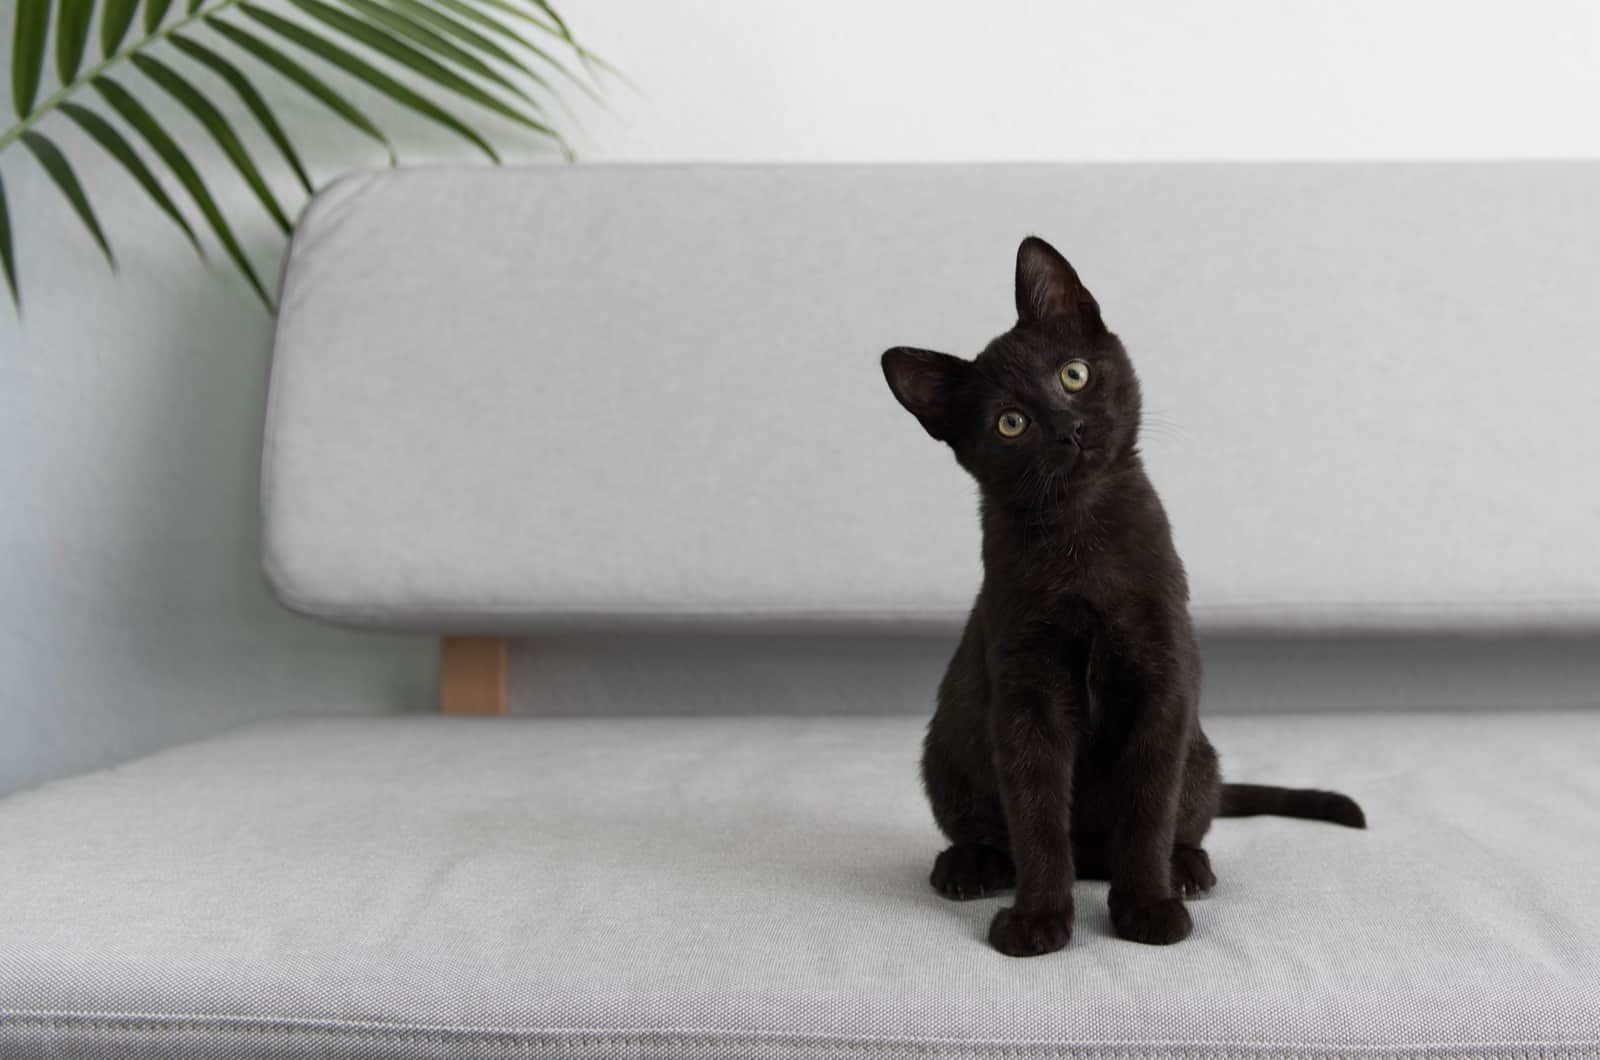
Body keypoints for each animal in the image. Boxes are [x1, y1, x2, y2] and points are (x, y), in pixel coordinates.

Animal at [876, 236, 1363, 960]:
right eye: (1011, 423)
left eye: (1073, 375)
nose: (1067, 429)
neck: (1084, 547)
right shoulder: (1026, 691)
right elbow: (1036, 814)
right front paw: (1038, 920)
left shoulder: (1162, 681)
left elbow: (1147, 809)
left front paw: (1147, 907)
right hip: (945, 753)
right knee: (986, 827)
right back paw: (970, 865)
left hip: (1200, 754)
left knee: (1183, 817)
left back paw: (1186, 867)